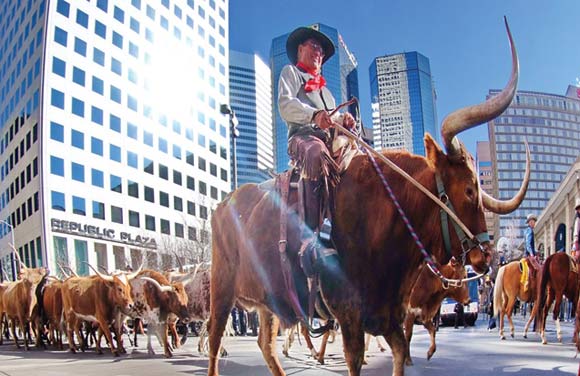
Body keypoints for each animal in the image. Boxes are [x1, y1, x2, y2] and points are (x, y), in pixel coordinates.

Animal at [208, 19, 532, 376]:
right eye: (470, 189)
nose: (486, 254)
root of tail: (225, 203)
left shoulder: (388, 315)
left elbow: (401, 352)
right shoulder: (350, 316)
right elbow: (355, 357)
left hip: (269, 303)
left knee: (265, 345)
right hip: (221, 290)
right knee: (213, 342)